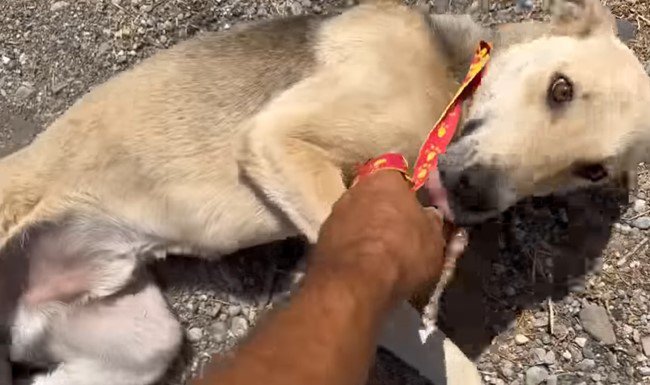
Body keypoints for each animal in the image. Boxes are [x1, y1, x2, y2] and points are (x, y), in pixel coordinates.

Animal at [1, 0, 648, 382]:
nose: (474, 193)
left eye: (591, 170)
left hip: (144, 340)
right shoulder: (278, 139)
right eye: (561, 88)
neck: (453, 82)